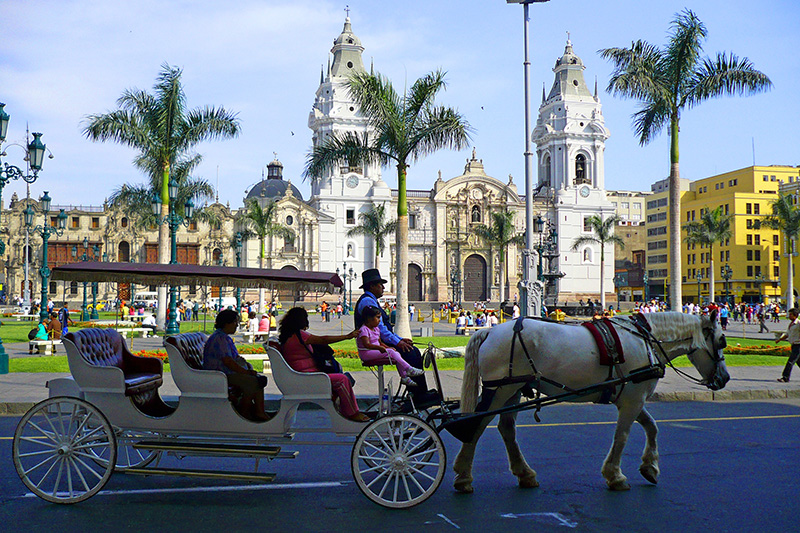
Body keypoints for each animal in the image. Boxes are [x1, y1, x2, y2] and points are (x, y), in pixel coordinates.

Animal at [454, 312, 728, 490]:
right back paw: (464, 477)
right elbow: (622, 436)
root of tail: (490, 330)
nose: (724, 378)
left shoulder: (632, 396)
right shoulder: (632, 400)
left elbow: (652, 427)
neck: (646, 340)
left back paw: (525, 474)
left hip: (513, 390)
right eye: (721, 342)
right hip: (501, 389)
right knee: (476, 426)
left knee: (506, 429)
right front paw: (615, 476)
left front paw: (650, 467)